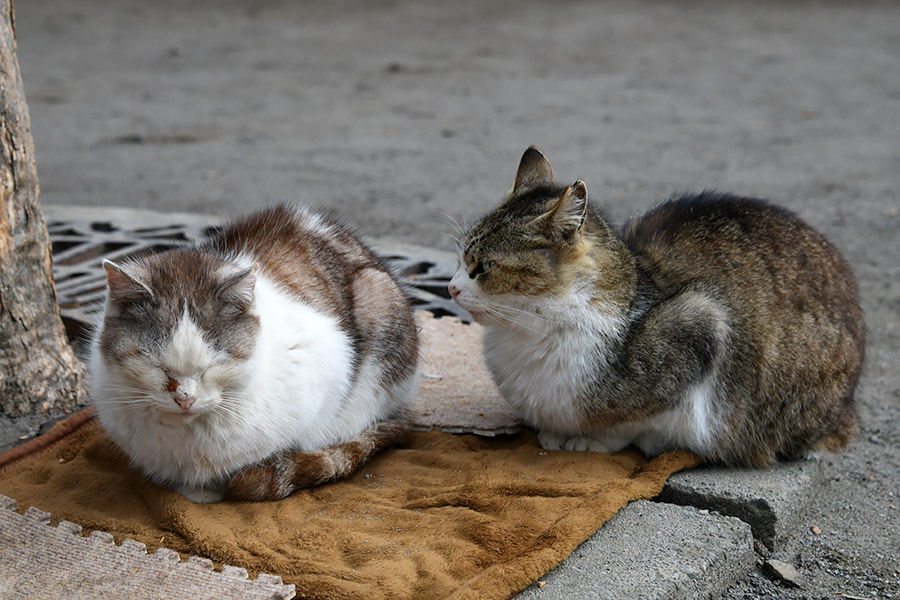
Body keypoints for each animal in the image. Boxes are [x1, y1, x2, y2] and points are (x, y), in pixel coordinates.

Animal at [88, 205, 418, 502]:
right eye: (157, 367)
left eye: (211, 366)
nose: (185, 399)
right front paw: (195, 490)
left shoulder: (327, 360)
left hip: (379, 314)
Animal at [450, 148, 864, 466]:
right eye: (459, 259)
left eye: (483, 266)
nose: (451, 288)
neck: (531, 332)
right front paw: (553, 434)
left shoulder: (703, 323)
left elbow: (631, 425)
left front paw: (589, 441)